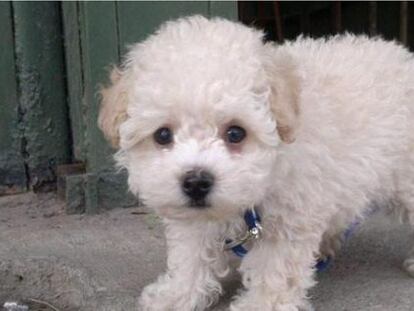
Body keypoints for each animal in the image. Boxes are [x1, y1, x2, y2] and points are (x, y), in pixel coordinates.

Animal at [98, 16, 414, 311]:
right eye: (163, 135)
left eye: (236, 133)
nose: (196, 182)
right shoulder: (194, 219)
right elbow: (191, 256)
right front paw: (178, 294)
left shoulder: (290, 218)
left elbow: (275, 268)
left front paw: (262, 303)